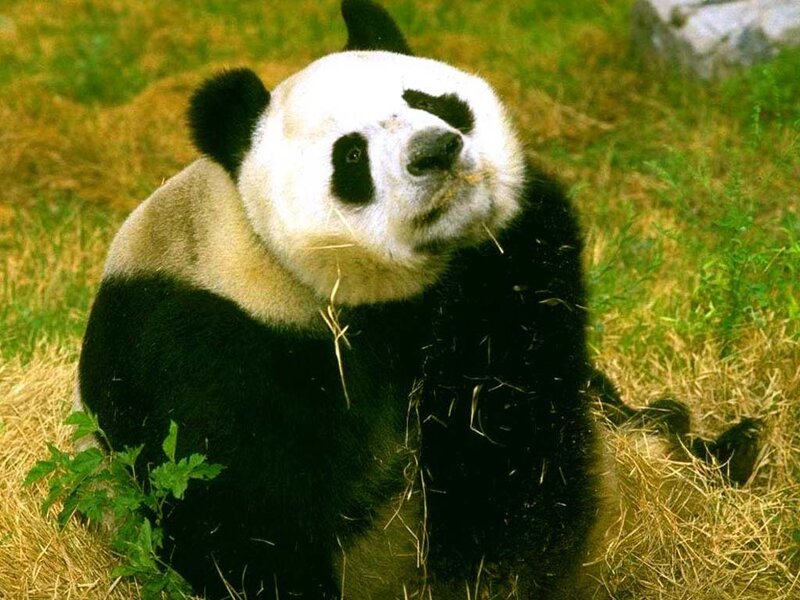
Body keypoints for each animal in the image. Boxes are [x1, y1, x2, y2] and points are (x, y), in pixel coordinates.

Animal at [77, 1, 760, 598]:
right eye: (350, 153)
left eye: (429, 101)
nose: (436, 151)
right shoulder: (209, 345)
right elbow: (239, 516)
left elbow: (518, 387)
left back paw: (728, 450)